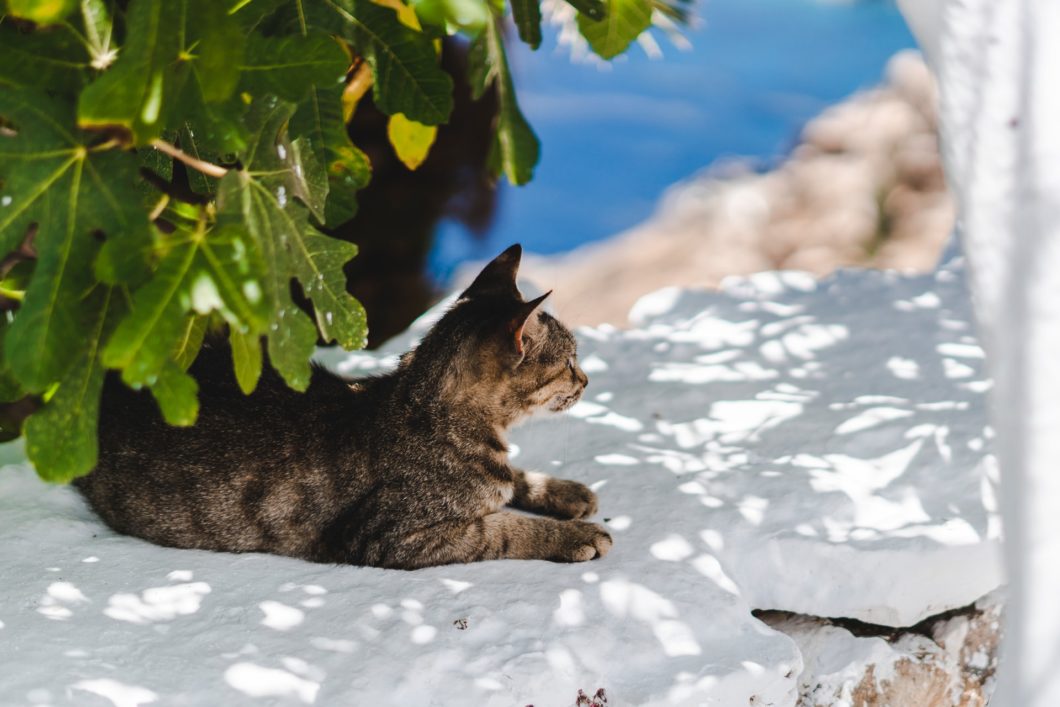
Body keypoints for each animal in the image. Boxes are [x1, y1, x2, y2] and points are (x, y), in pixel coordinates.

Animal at [76, 243, 614, 568]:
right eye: (570, 361)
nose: (587, 379)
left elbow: (514, 479)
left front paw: (564, 492)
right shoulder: (391, 536)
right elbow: (501, 528)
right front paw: (574, 536)